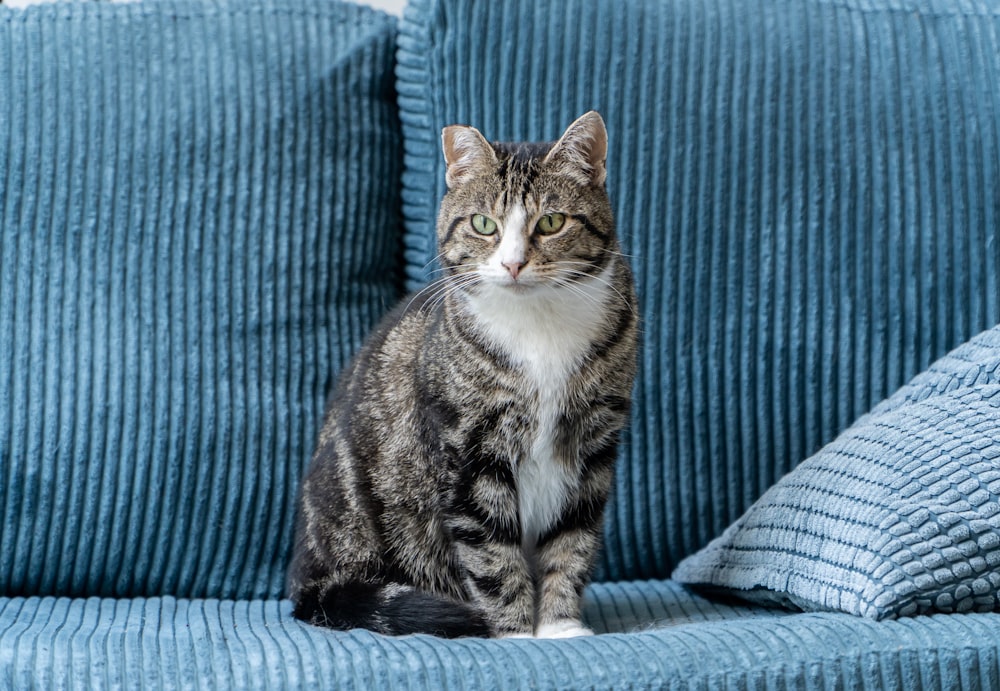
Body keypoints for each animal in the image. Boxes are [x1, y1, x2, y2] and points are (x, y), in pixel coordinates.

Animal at [286, 112, 636, 636]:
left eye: (551, 222)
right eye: (483, 224)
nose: (513, 264)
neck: (539, 328)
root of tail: (307, 579)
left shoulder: (594, 446)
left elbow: (572, 543)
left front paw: (560, 627)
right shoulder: (467, 453)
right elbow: (492, 553)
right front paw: (516, 633)